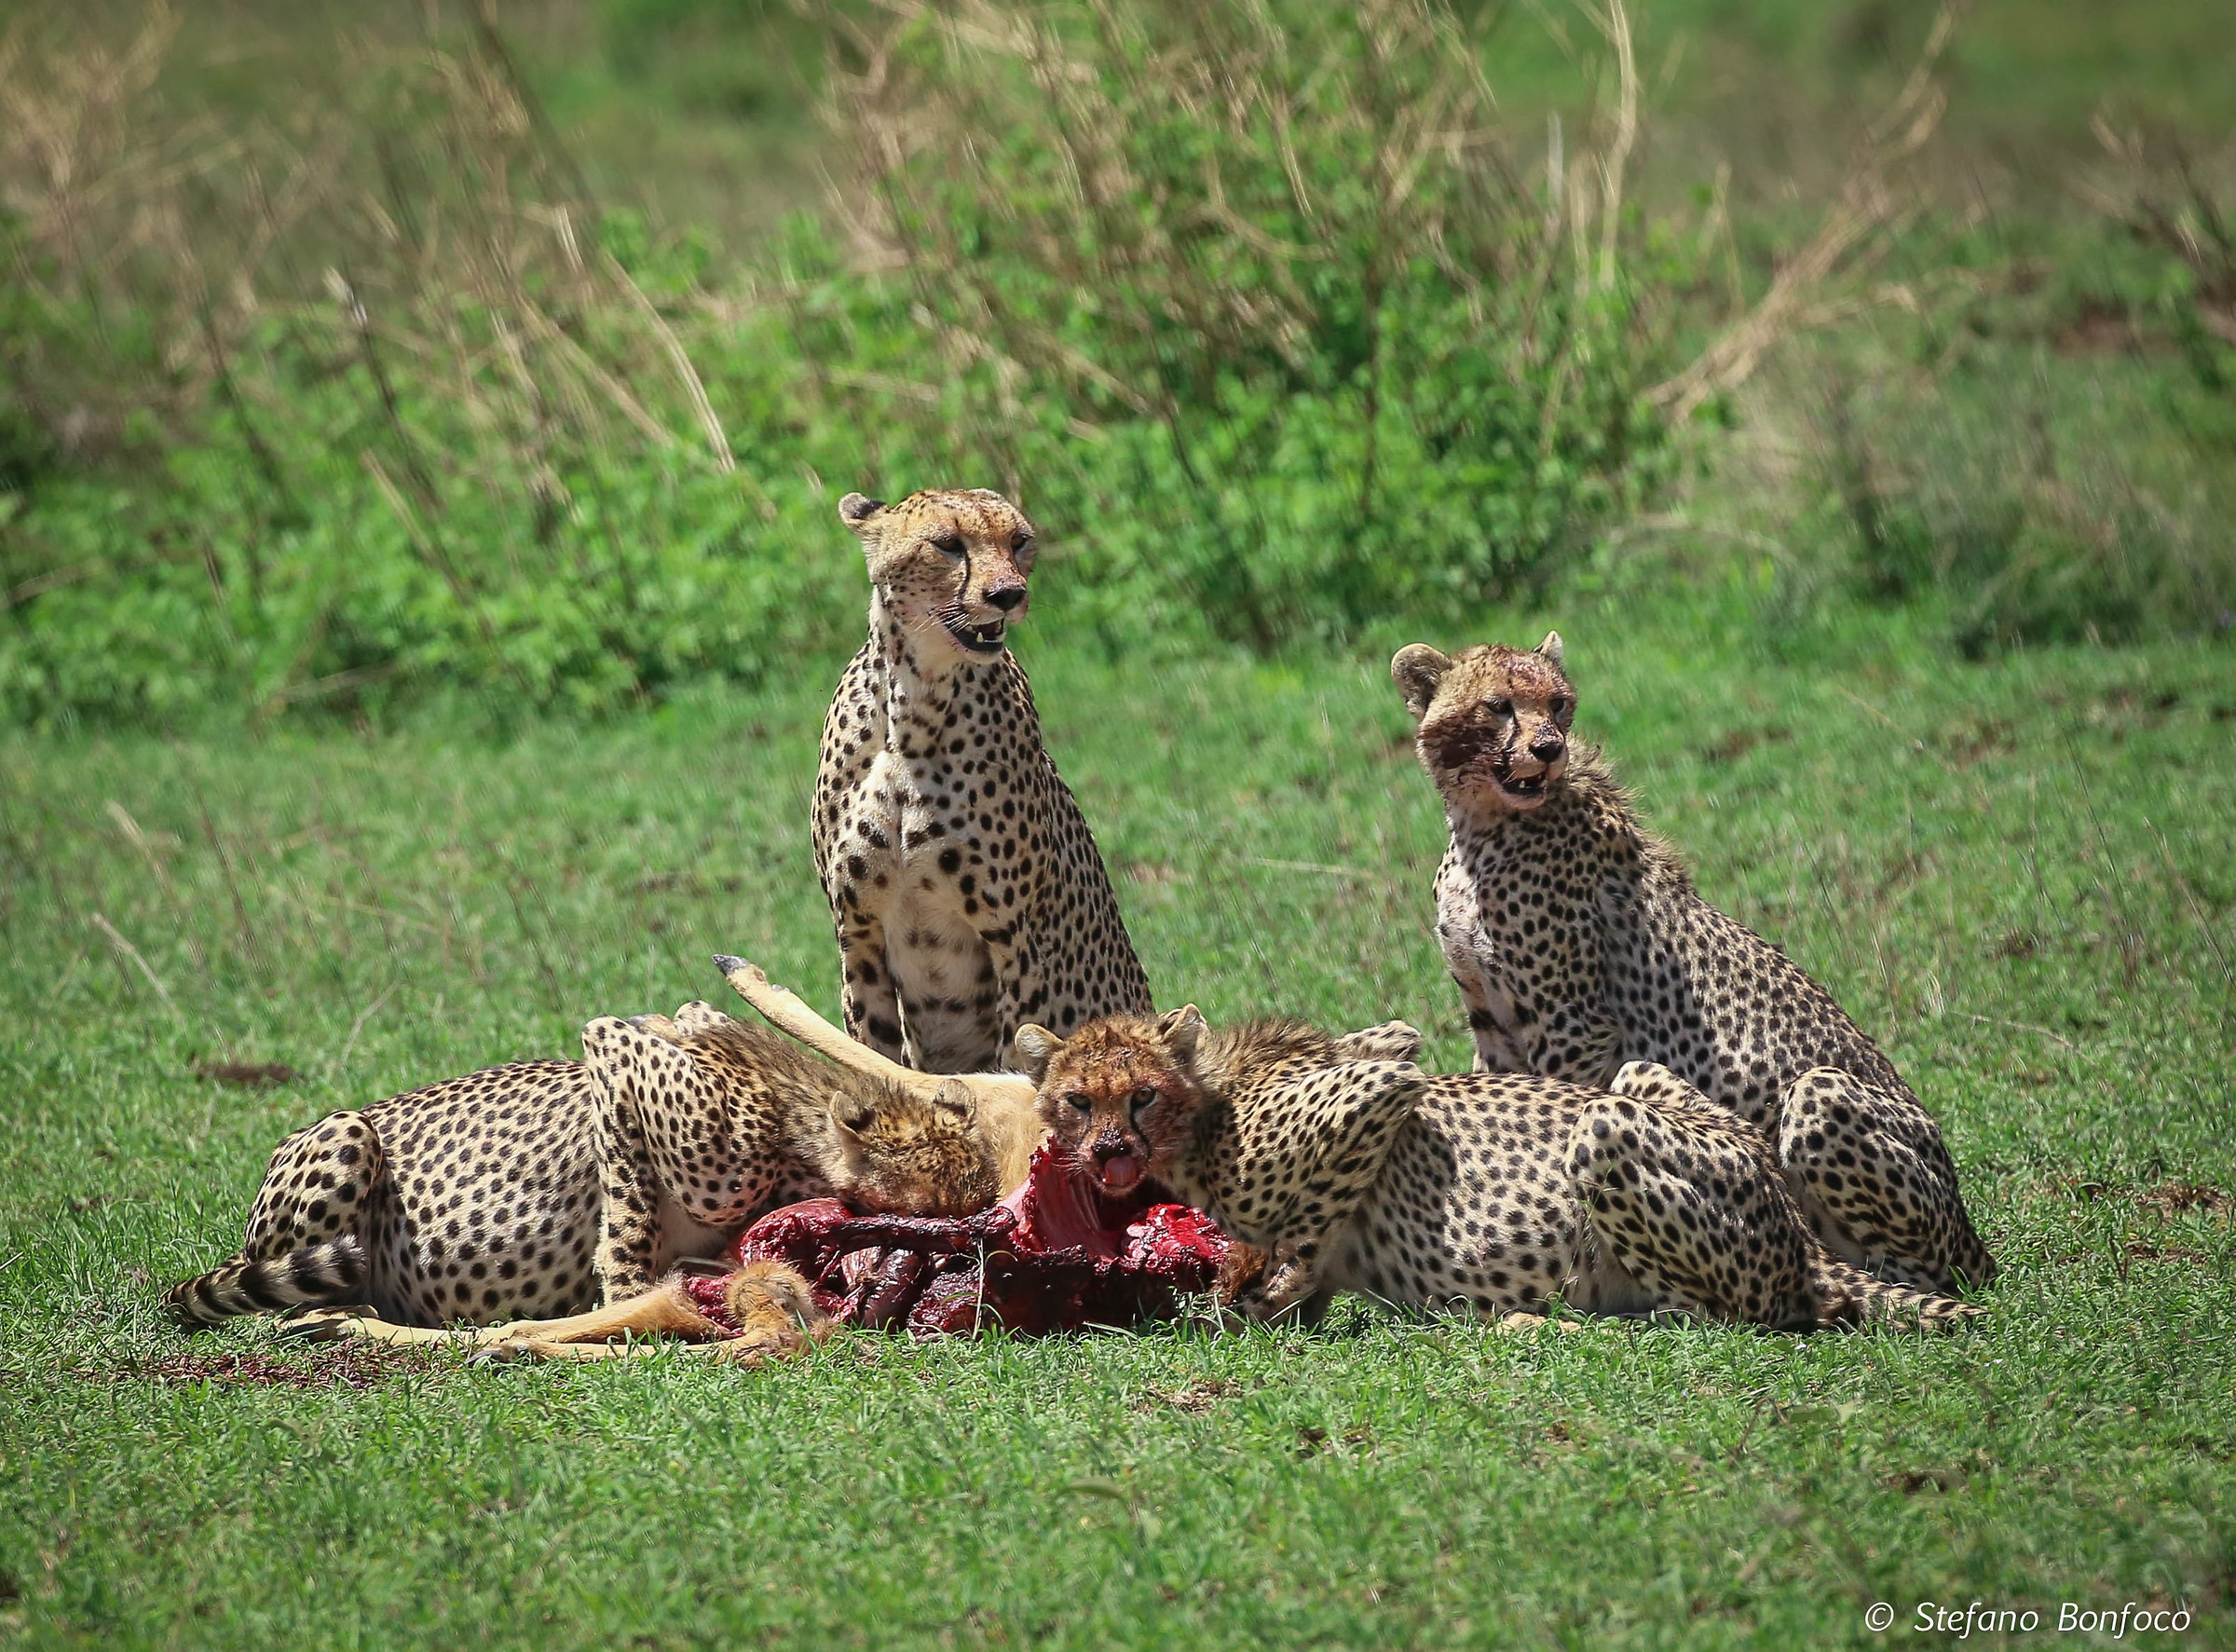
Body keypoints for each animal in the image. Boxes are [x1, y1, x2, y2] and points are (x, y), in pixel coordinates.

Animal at [166, 992, 1000, 1330]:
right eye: (937, 1205)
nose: (977, 1236)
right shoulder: (619, 1054)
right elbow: (629, 1210)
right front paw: (630, 1300)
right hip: (346, 1133)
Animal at [813, 487, 1153, 1075]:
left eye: (1019, 540)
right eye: (948, 544)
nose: (1008, 594)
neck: (913, 708)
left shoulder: (1017, 945)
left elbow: (1018, 1061)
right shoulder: (858, 938)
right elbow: (868, 1063)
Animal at [1017, 1009, 1979, 1330]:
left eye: (1140, 1096)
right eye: (1077, 1101)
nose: (1109, 1150)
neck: (1207, 1105)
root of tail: (1797, 1227)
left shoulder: (1378, 1087)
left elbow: (1316, 1217)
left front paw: (1271, 1278)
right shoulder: (1387, 1045)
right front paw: (1270, 1292)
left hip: (1607, 1131)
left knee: (1734, 1316)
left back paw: (1557, 1321)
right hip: (1638, 1077)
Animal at [1390, 630, 1996, 1298]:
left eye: (1558, 703)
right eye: (1498, 706)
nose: (1548, 750)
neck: (1483, 825)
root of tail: (1972, 1233)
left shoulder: (1571, 1025)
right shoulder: (1492, 1019)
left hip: (1824, 1096)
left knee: (1919, 1271)